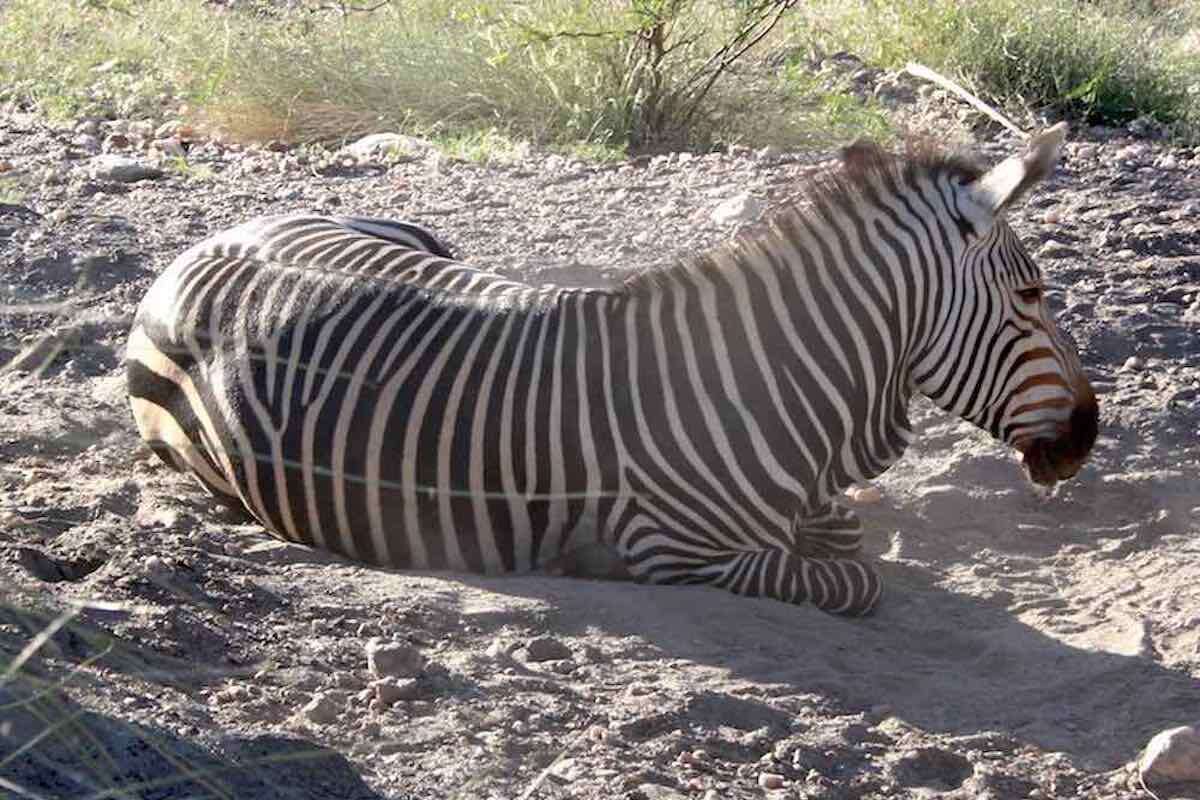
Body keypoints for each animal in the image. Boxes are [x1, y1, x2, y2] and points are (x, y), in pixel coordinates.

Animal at [126, 124, 1097, 616]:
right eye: (1034, 295)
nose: (1089, 435)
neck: (774, 385)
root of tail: (204, 244)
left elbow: (847, 536)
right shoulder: (677, 551)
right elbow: (850, 581)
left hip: (413, 235)